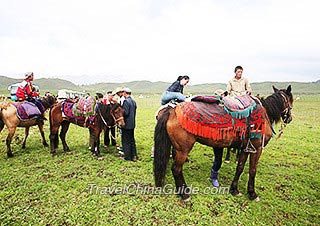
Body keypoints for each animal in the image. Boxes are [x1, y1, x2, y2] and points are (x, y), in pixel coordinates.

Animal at [153, 85, 292, 201]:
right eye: (291, 100)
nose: (289, 118)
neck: (265, 113)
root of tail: (171, 111)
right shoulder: (257, 149)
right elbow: (252, 170)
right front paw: (252, 194)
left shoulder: (245, 148)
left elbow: (240, 167)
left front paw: (234, 189)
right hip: (183, 149)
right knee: (176, 169)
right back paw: (184, 194)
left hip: (177, 148)